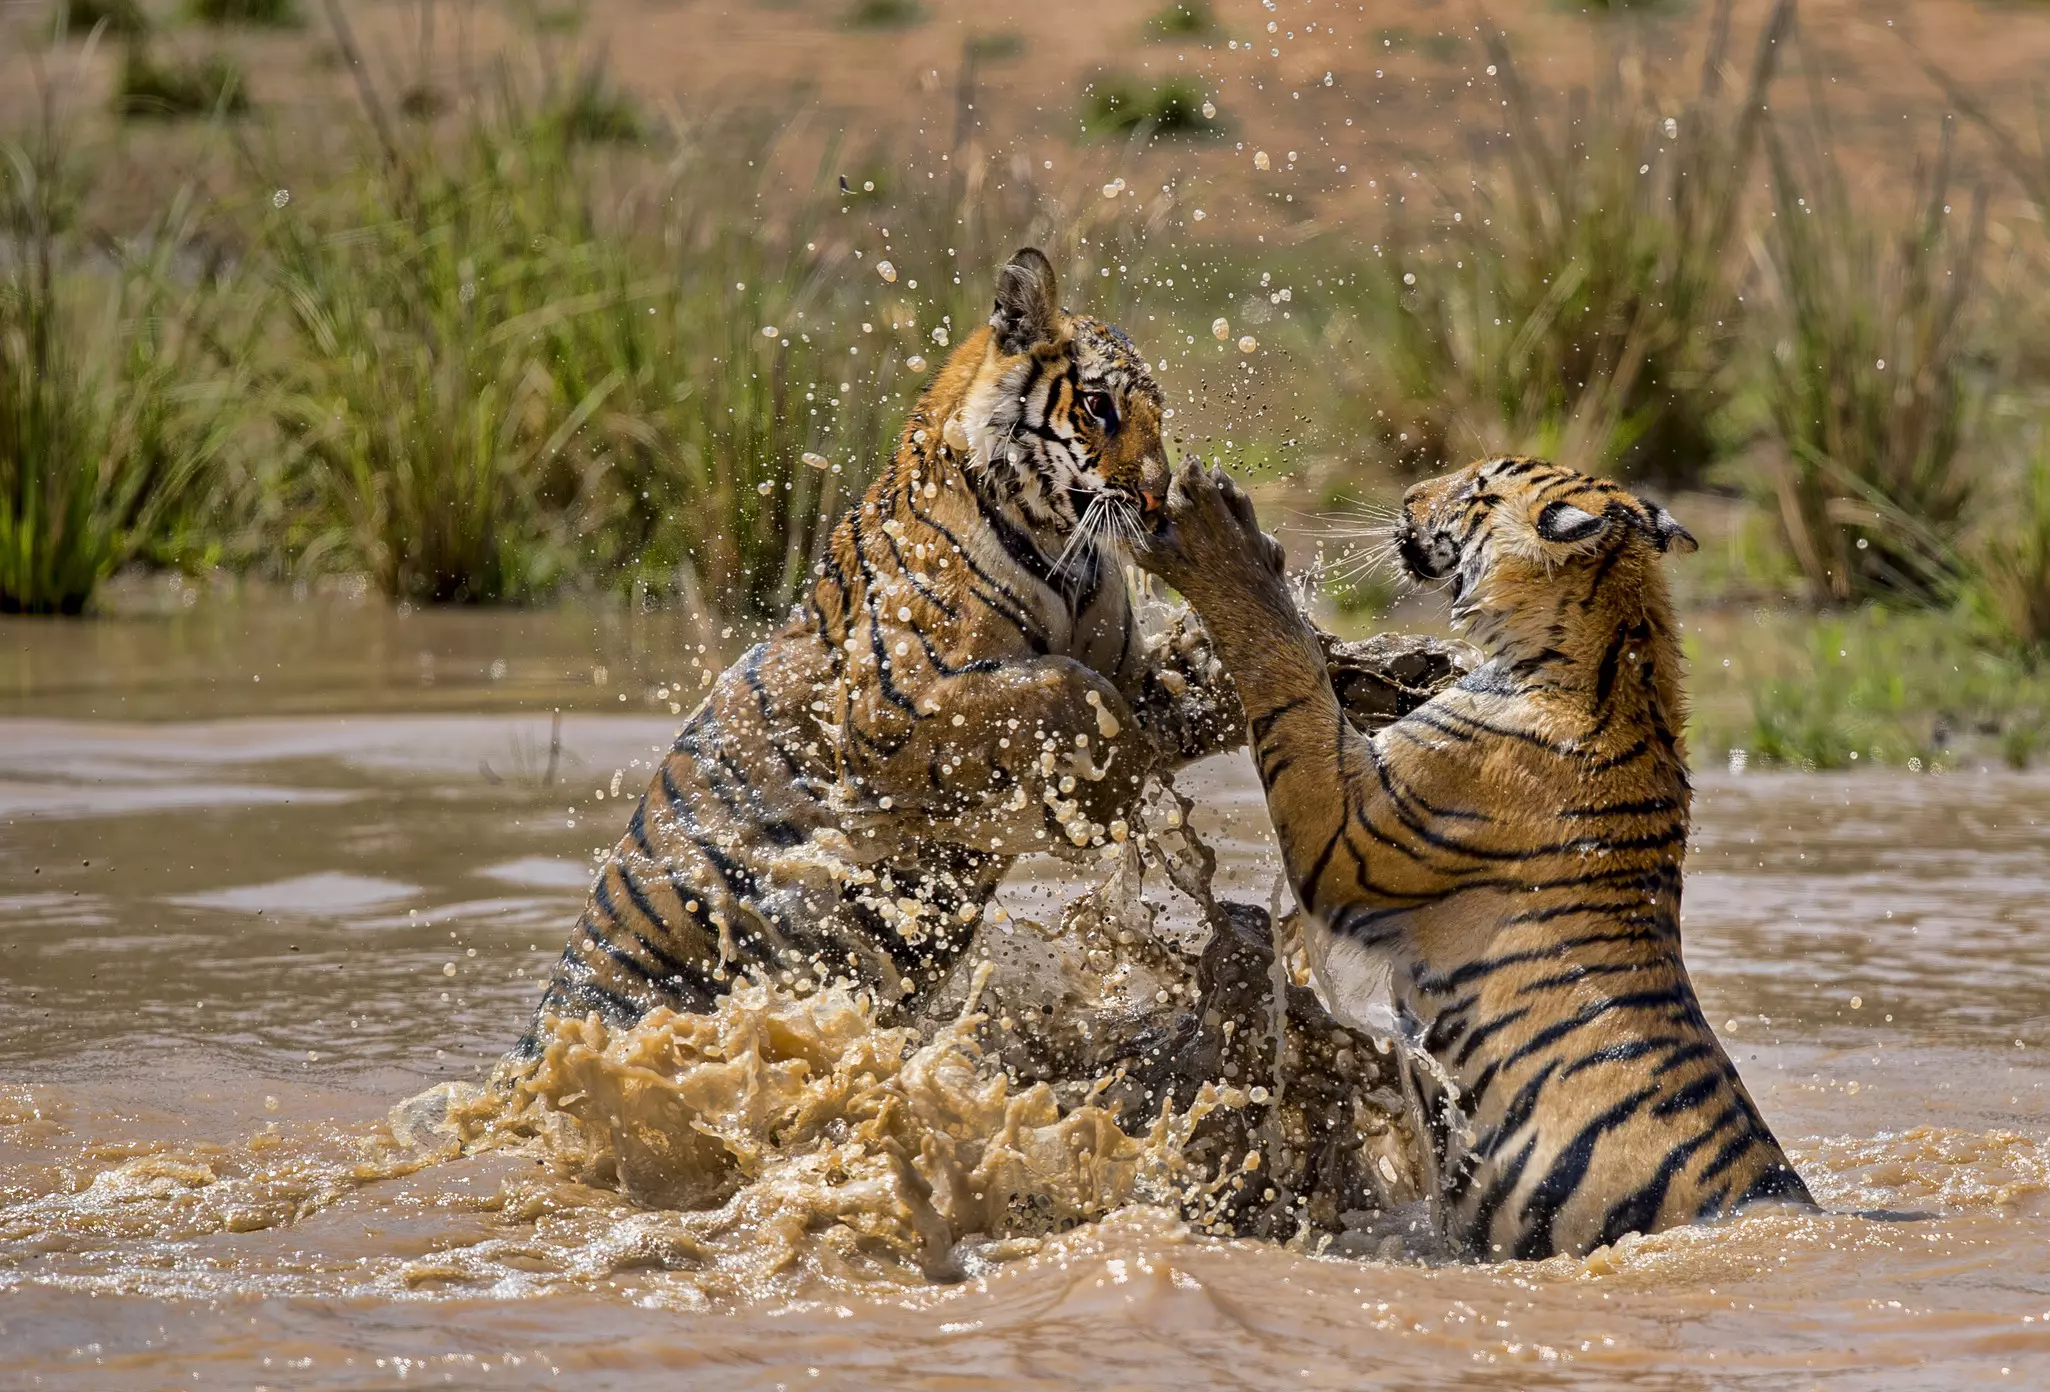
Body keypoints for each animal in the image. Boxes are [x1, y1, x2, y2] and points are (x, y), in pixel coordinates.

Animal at [516, 248, 1241, 1055]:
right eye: (1097, 406)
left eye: (1157, 415)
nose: (1156, 500)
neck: (1065, 553)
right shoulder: (889, 708)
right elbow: (1065, 688)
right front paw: (1106, 796)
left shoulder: (1125, 665)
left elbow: (1149, 690)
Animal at [1131, 455, 1814, 1260]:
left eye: (1475, 489)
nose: (1406, 497)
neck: (1615, 656)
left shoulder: (1345, 834)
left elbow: (1288, 671)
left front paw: (1220, 534)